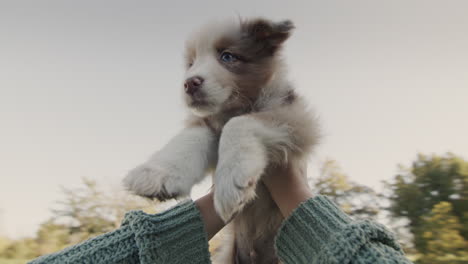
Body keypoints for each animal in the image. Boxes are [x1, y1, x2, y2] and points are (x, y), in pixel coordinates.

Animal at [122, 17, 320, 262]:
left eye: (227, 56)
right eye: (191, 63)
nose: (189, 83)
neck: (235, 106)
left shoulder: (296, 117)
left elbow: (240, 123)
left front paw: (231, 181)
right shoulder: (208, 123)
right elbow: (191, 137)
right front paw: (157, 173)